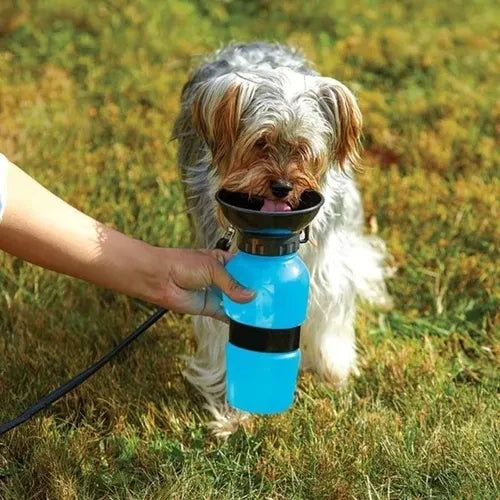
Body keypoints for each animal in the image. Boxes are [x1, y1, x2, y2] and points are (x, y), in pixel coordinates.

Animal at [174, 42, 392, 434]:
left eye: (304, 148)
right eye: (260, 143)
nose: (282, 186)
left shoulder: (324, 266)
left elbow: (328, 314)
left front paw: (333, 374)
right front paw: (232, 413)